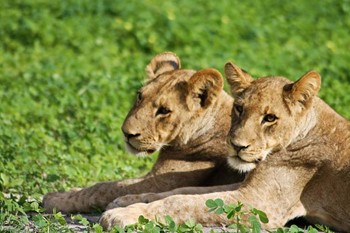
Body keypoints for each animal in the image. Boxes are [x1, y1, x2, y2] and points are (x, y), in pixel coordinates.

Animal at [42, 52, 245, 215]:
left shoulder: (161, 182)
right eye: (140, 96)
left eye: (164, 110)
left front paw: (55, 198)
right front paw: (71, 190)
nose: (126, 133)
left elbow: (103, 188)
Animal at [98, 61, 350, 232]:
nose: (237, 146)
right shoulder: (244, 187)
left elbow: (181, 202)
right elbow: (183, 192)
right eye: (239, 108)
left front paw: (124, 214)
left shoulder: (261, 204)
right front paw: (128, 200)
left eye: (270, 118)